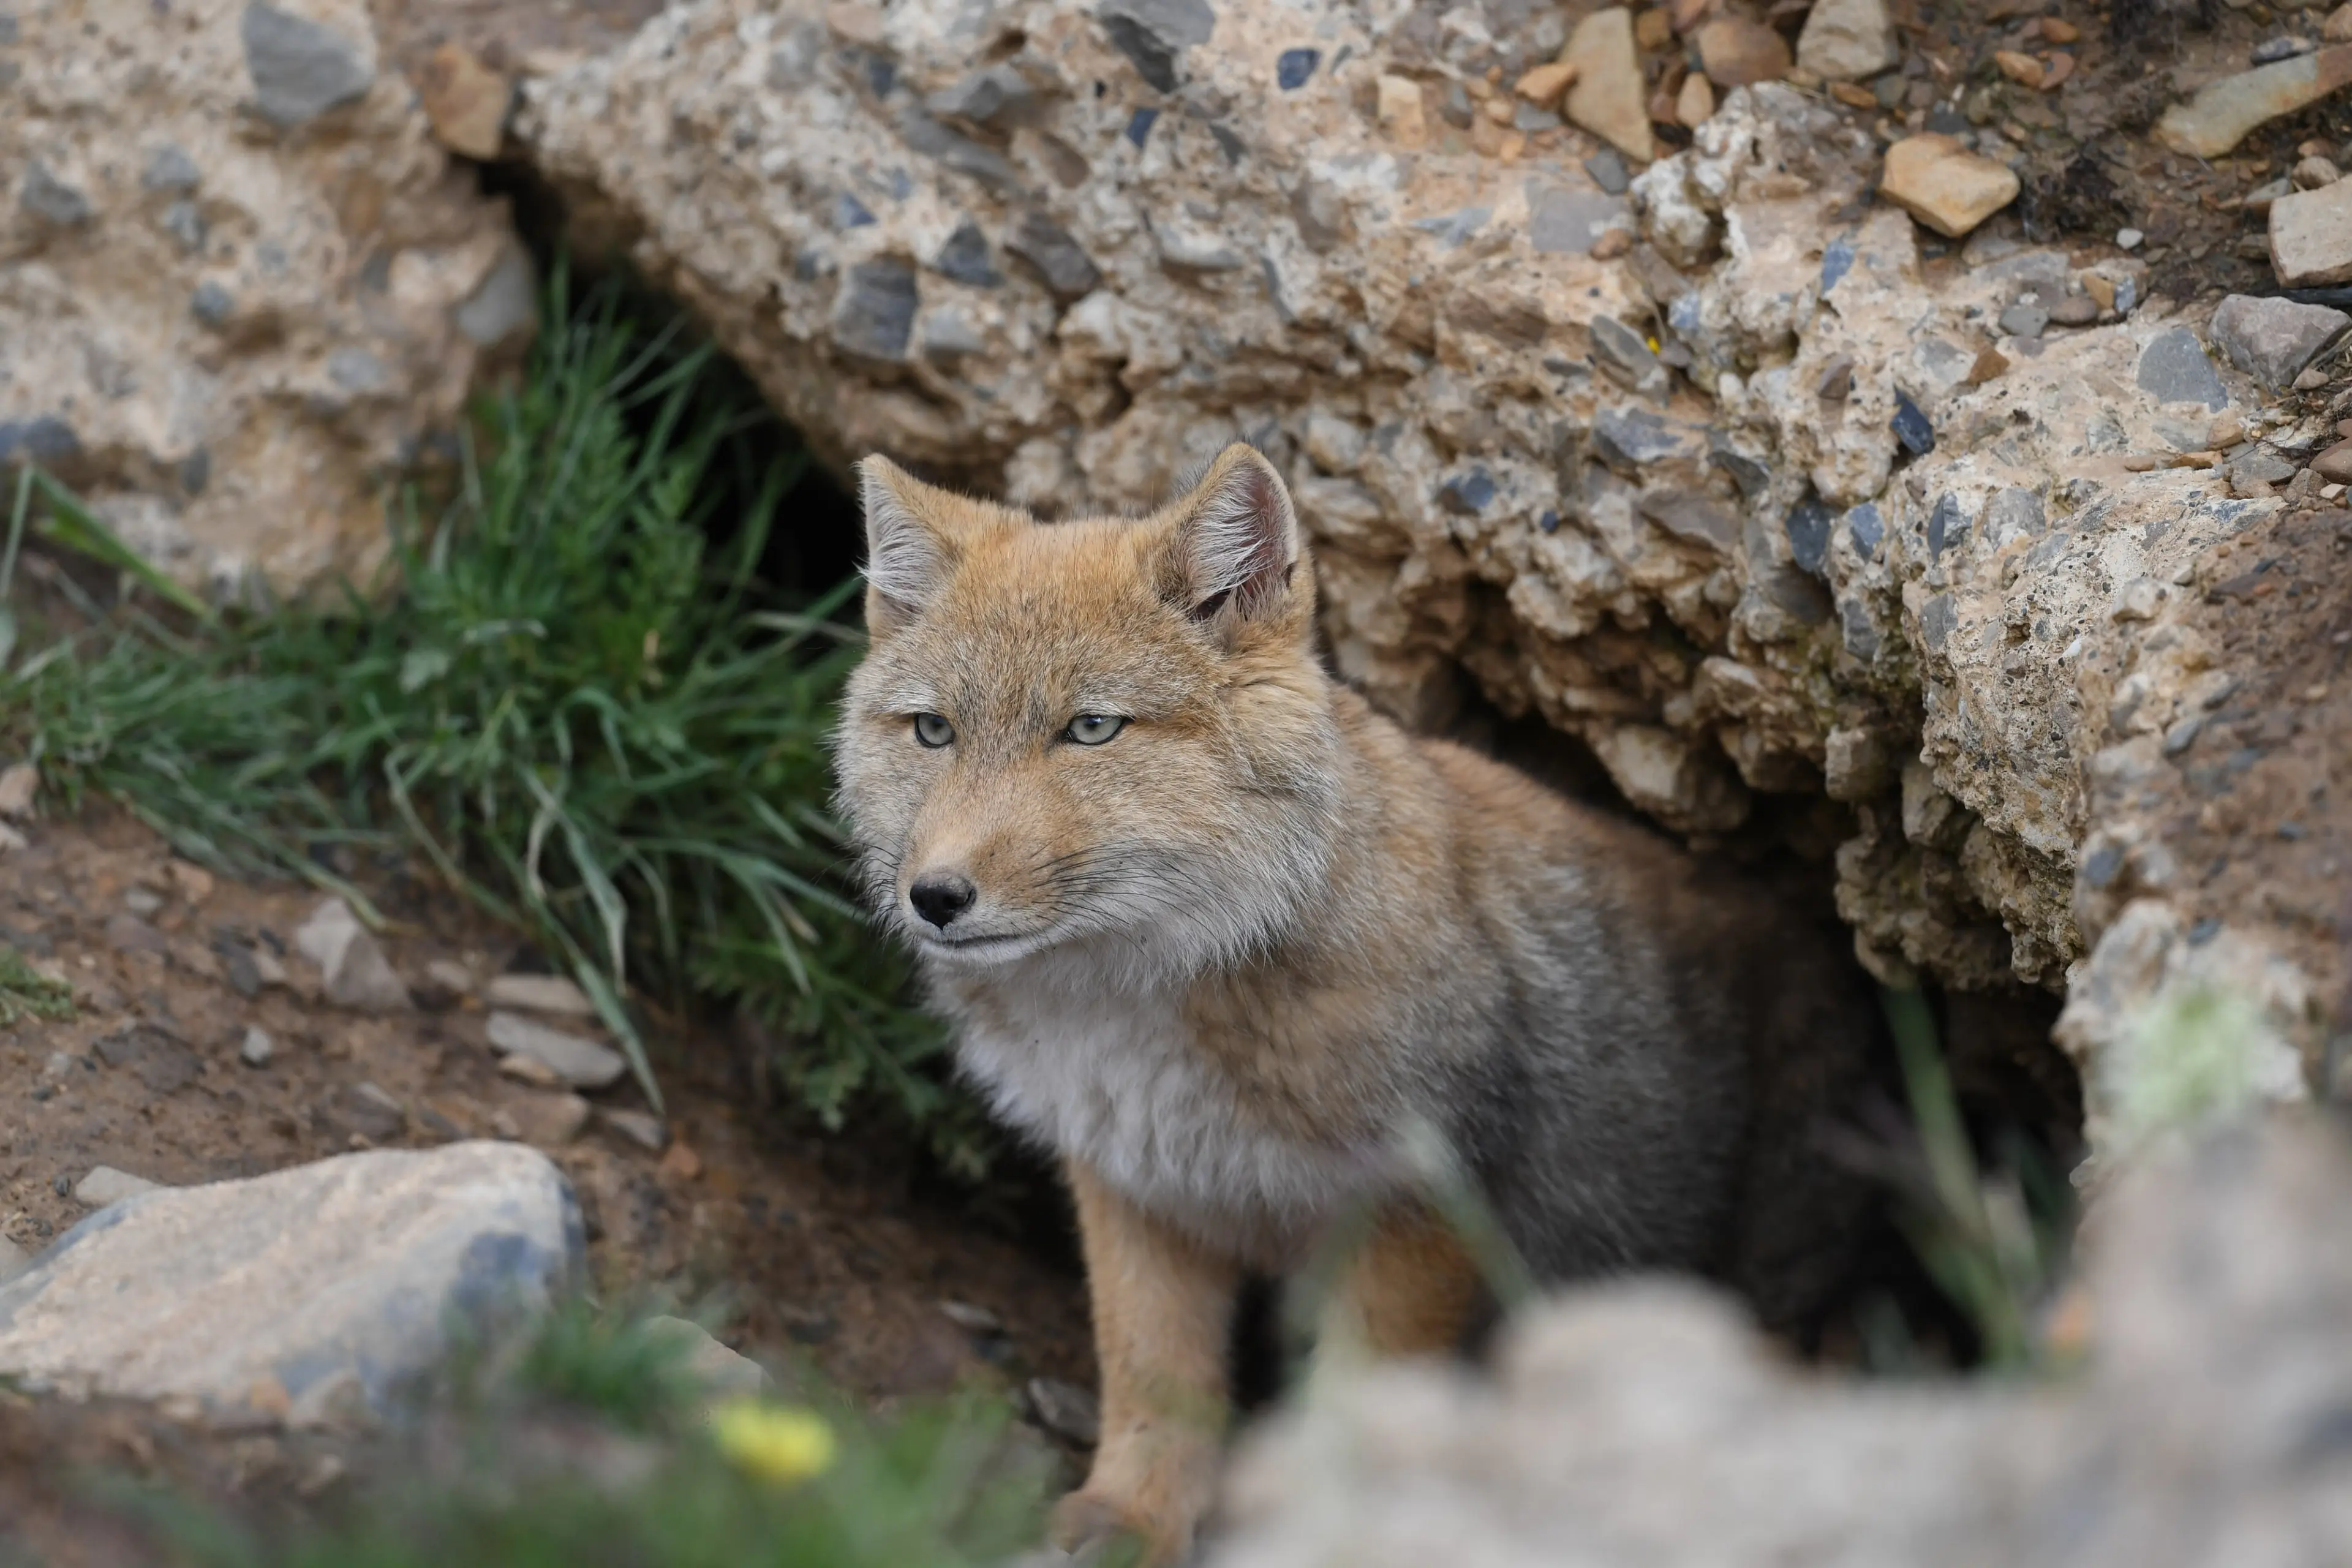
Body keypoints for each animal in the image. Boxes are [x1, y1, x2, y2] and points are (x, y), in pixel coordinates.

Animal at [831, 443, 1882, 1564]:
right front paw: (1134, 1515)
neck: (1137, 1010)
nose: (936, 897)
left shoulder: (1416, 1211)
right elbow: (1155, 1377)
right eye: (933, 731)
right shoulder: (1138, 1190)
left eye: (1090, 729)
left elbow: (1356, 1415)